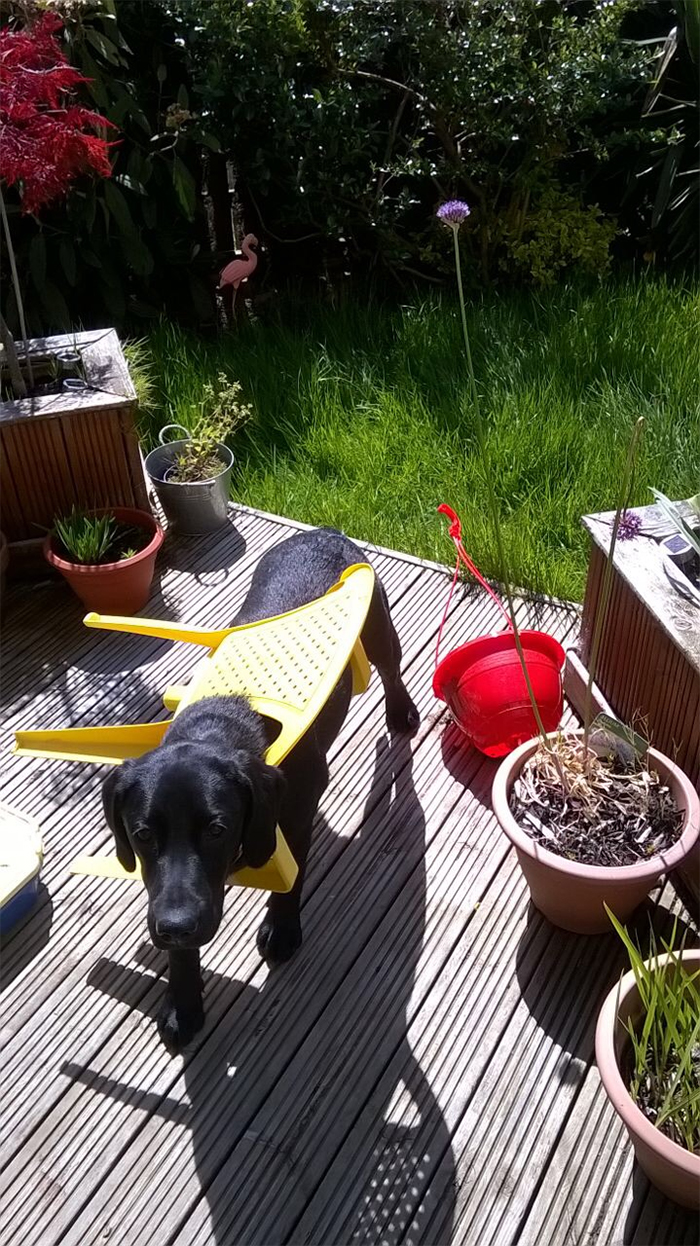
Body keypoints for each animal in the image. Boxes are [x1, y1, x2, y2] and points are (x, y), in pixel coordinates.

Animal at [101, 525, 416, 1051]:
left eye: (217, 829)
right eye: (142, 835)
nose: (175, 928)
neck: (219, 723)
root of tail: (324, 531)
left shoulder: (295, 810)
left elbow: (290, 878)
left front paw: (283, 930)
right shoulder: (172, 892)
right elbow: (177, 927)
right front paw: (183, 1005)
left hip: (378, 624)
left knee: (391, 667)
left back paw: (401, 712)